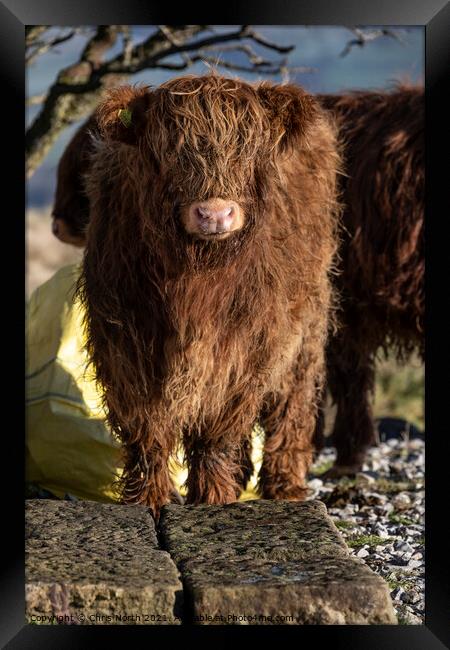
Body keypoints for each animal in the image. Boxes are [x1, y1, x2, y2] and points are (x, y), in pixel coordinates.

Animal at [76, 76, 342, 512]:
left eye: (249, 149)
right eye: (170, 150)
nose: (215, 214)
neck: (196, 279)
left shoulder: (245, 350)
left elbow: (216, 434)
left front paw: (214, 500)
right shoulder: (125, 343)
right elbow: (147, 432)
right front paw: (148, 499)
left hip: (306, 330)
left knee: (292, 406)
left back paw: (284, 487)